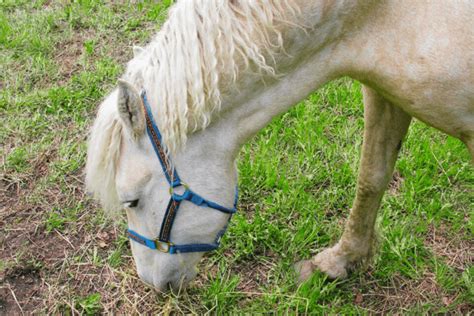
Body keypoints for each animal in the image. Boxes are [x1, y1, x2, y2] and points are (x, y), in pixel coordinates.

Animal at [85, 0, 474, 292]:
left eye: (131, 201)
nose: (151, 281)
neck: (385, 12)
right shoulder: (383, 92)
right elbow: (371, 178)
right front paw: (339, 261)